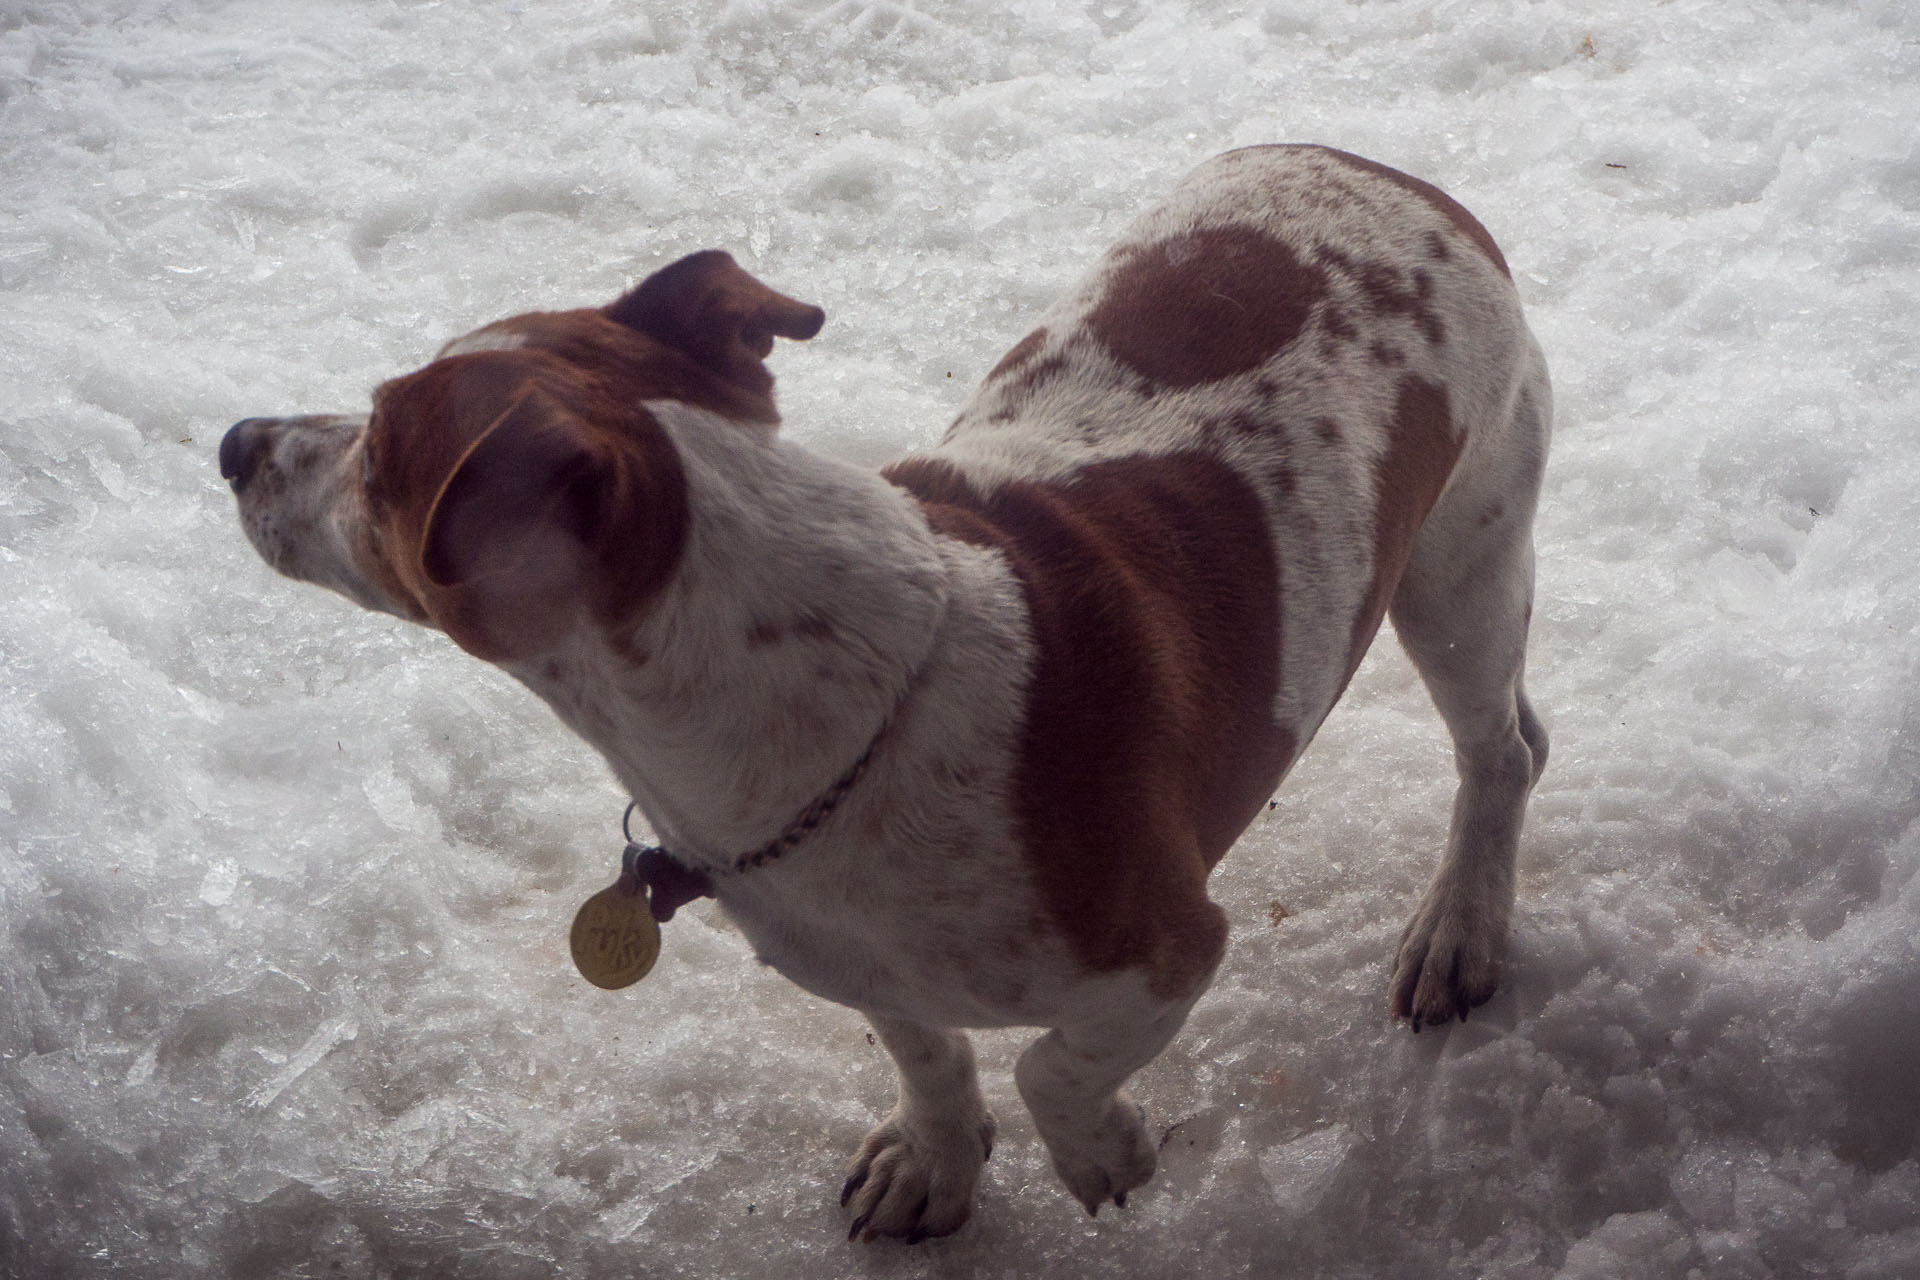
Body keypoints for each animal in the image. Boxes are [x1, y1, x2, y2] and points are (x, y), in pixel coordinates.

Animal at [220, 147, 1543, 1243]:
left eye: (381, 452)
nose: (234, 441)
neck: (843, 715)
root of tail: (1378, 166)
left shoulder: (1171, 949)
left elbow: (1050, 1066)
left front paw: (1101, 1151)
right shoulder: (857, 961)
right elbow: (928, 1055)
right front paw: (934, 1163)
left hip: (1461, 570)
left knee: (1502, 750)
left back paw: (1458, 929)